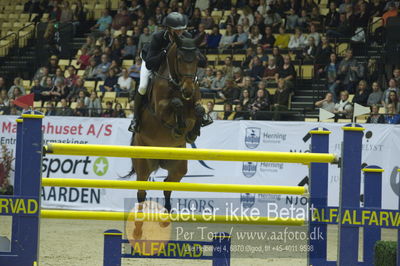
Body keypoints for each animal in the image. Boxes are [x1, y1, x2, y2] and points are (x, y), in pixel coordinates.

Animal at [128, 32, 205, 235]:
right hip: (143, 164)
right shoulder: (160, 111)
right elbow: (175, 105)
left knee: (167, 185)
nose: (188, 89)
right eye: (179, 58)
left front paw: (193, 131)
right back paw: (138, 228)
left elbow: (199, 109)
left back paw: (165, 218)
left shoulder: (194, 101)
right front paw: (180, 126)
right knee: (141, 193)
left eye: (197, 59)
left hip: (178, 166)